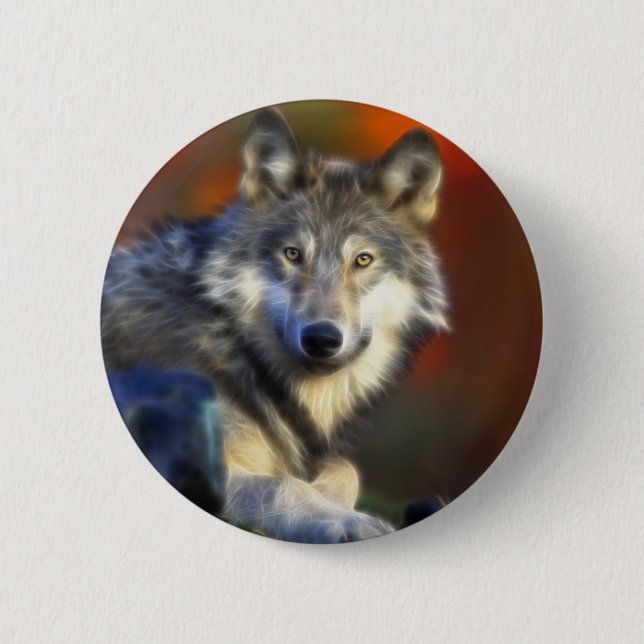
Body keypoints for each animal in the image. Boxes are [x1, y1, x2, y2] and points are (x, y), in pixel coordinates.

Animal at [101, 107, 449, 543]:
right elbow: (284, 485)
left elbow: (344, 469)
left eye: (363, 260)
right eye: (293, 254)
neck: (232, 344)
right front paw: (346, 520)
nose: (321, 339)